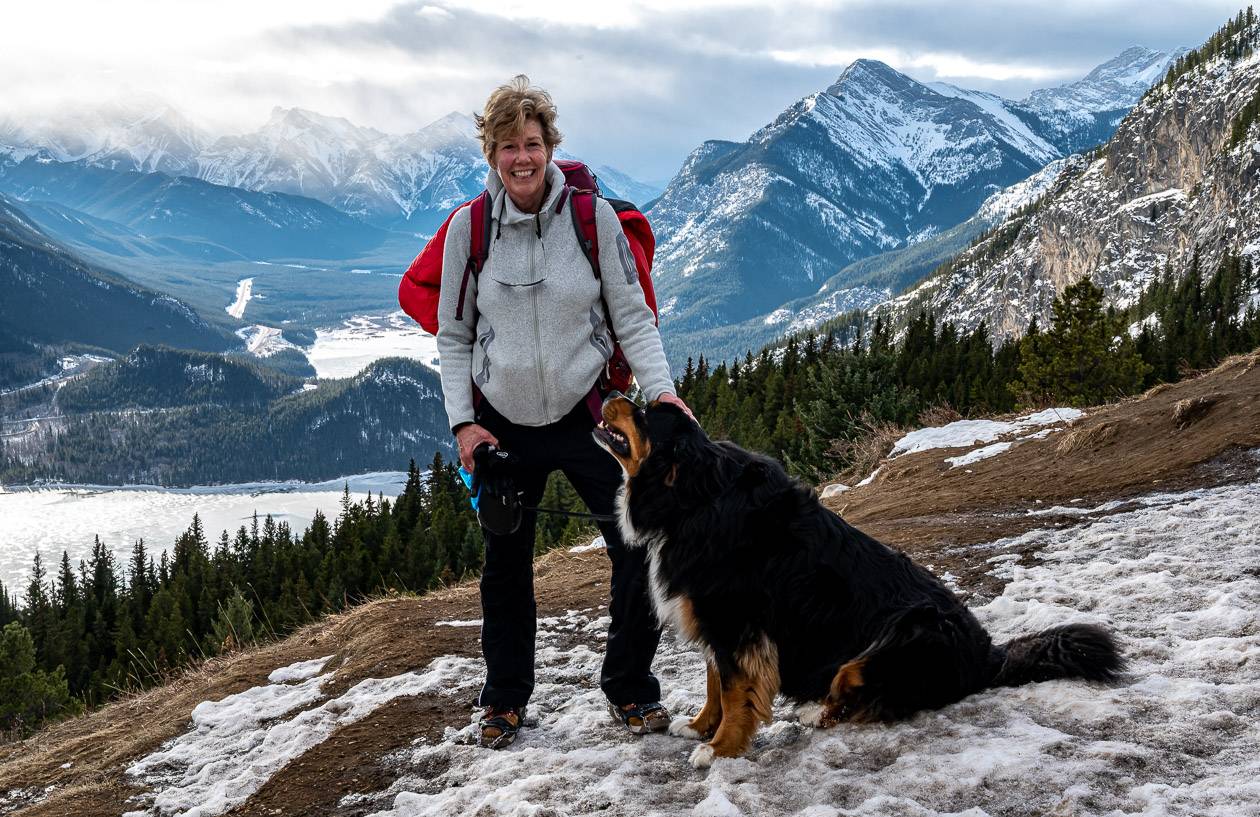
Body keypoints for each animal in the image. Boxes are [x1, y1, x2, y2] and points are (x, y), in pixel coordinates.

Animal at [589, 393, 1123, 771]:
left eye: (643, 414)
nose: (611, 391)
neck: (692, 495)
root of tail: (986, 654)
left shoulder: (737, 623)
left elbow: (737, 691)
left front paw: (720, 749)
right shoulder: (715, 623)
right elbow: (715, 683)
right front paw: (702, 727)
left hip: (903, 635)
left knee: (866, 696)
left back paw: (817, 712)